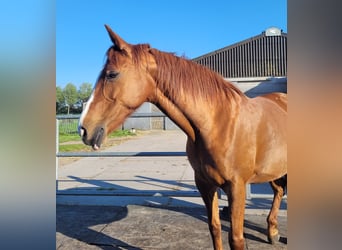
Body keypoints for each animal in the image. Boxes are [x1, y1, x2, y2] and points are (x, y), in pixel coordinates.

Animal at [78, 25, 286, 250]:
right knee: (278, 191)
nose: (83, 129)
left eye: (112, 74)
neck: (217, 123)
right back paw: (273, 232)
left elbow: (236, 239)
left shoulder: (236, 188)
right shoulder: (205, 184)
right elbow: (215, 228)